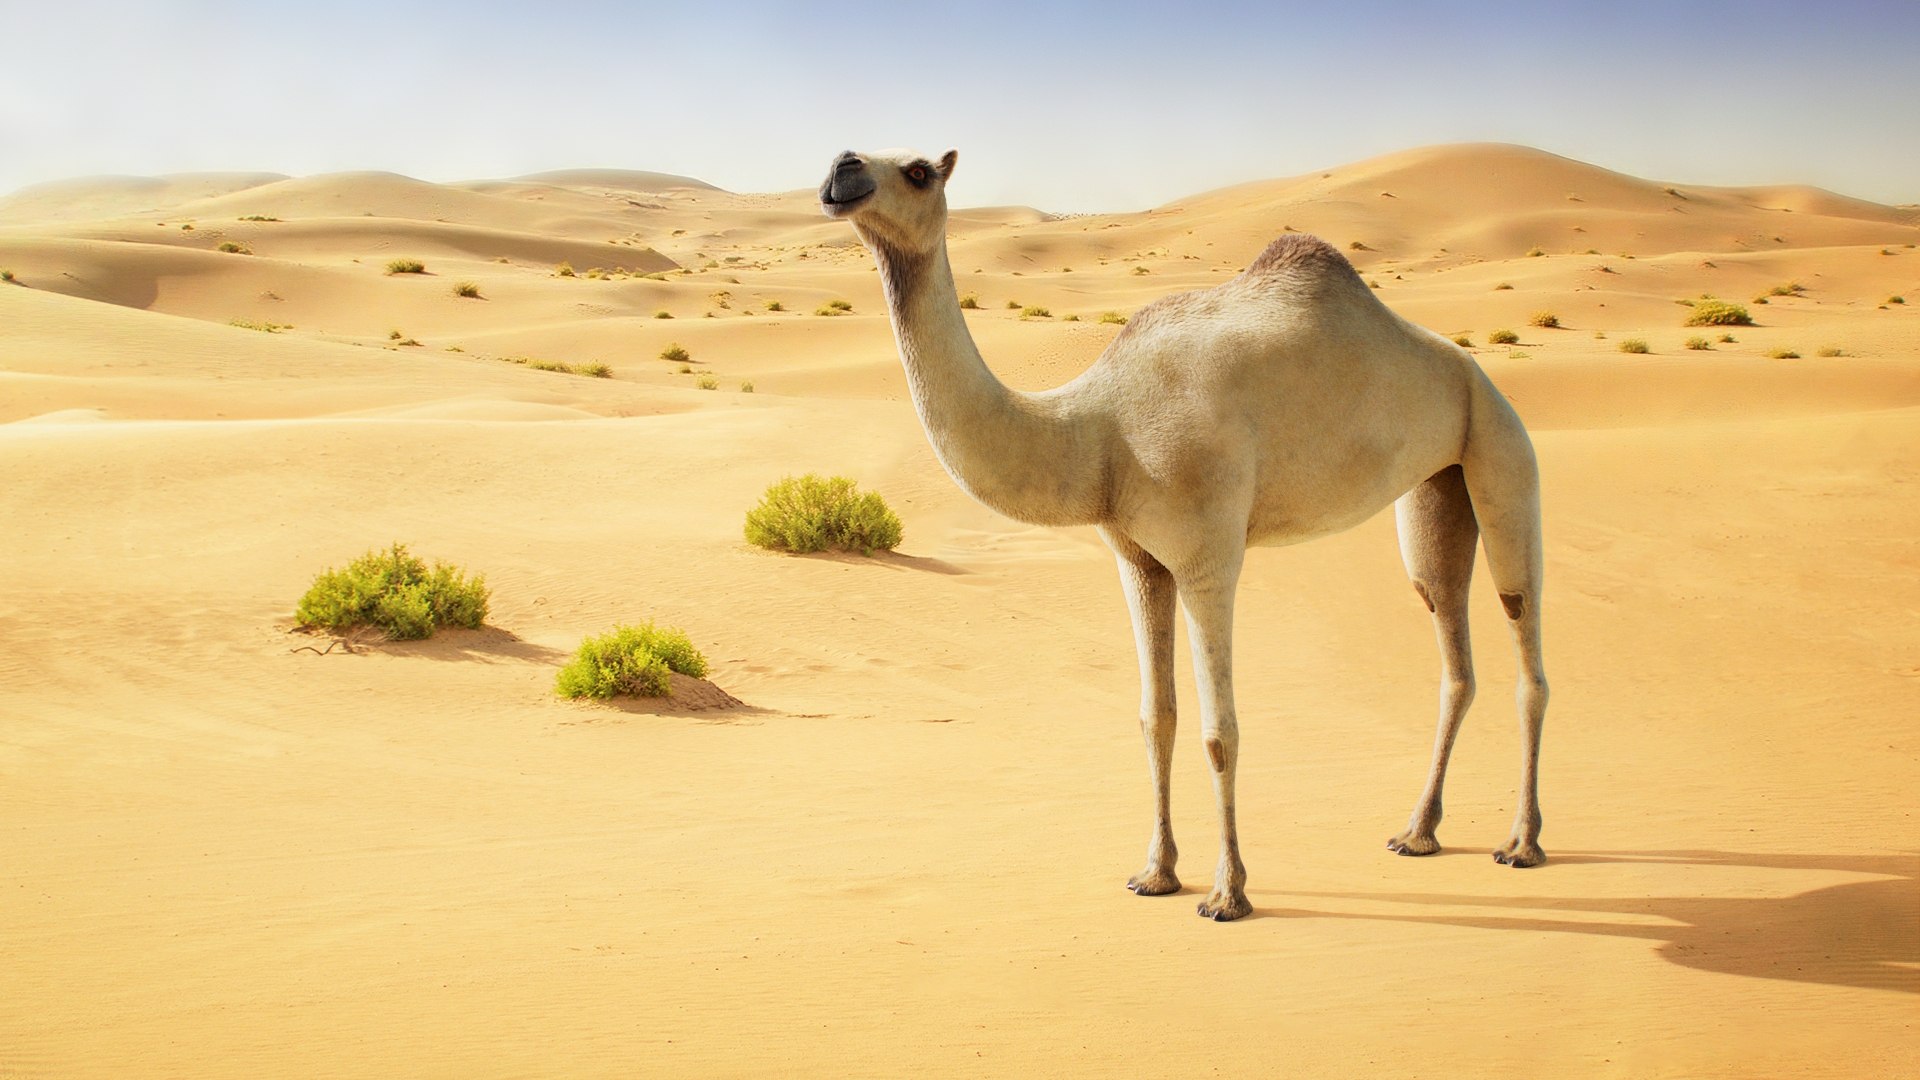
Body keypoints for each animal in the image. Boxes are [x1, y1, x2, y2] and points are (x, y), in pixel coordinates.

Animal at [820, 148, 1549, 921]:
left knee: (1524, 641)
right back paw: (1417, 832)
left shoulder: (1207, 557)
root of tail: (1477, 370)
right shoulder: (1138, 559)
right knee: (1449, 637)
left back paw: (1522, 843)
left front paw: (1228, 893)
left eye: (919, 170)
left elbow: (1219, 731)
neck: (1100, 429)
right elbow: (1156, 716)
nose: (842, 169)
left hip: (1501, 446)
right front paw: (1156, 872)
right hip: (1436, 482)